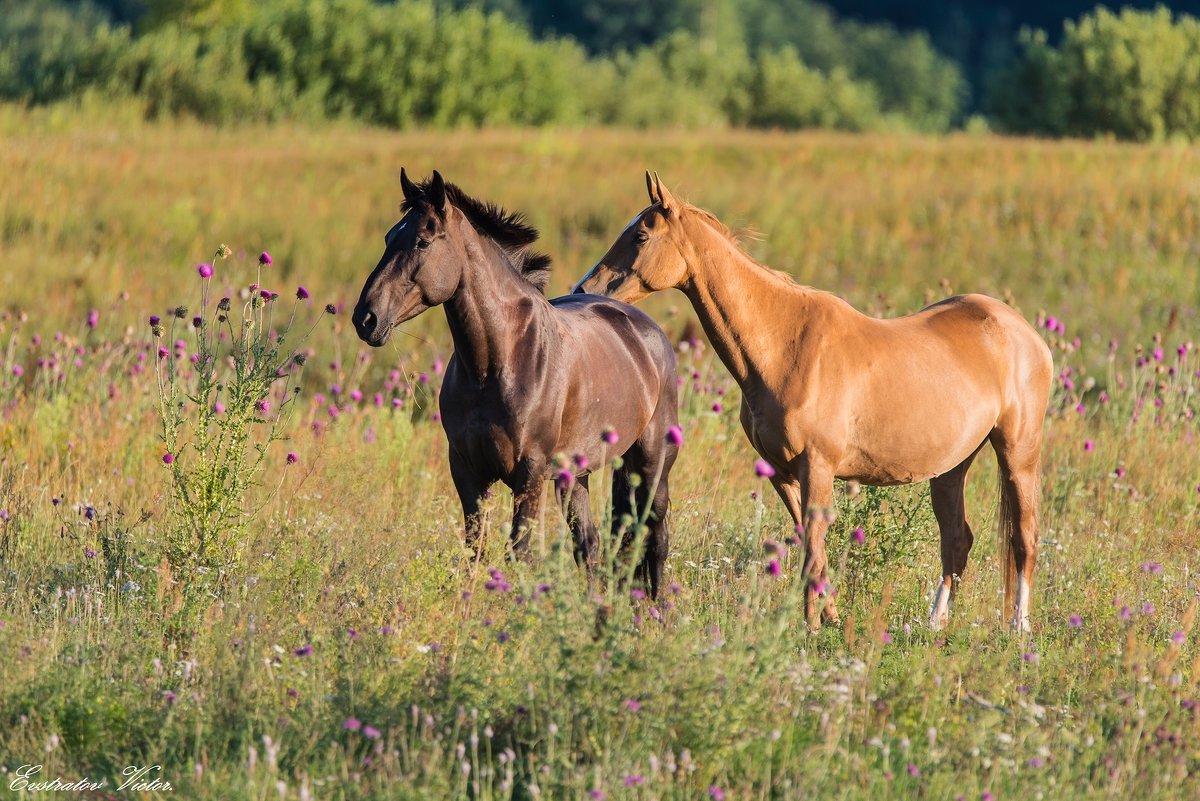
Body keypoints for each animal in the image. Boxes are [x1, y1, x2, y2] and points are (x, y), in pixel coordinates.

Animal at [350, 169, 681, 594]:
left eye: (423, 240)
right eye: (390, 237)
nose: (366, 318)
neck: (495, 364)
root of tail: (648, 331)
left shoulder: (530, 474)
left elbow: (518, 553)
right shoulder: (467, 472)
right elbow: (475, 551)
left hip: (652, 464)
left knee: (655, 538)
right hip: (576, 477)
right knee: (589, 544)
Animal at [571, 172, 1051, 628]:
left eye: (640, 235)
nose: (582, 289)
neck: (785, 344)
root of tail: (1021, 330)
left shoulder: (817, 467)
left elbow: (813, 553)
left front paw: (812, 630)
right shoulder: (784, 474)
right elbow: (812, 554)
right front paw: (830, 619)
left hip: (1018, 453)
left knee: (1024, 537)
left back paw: (1019, 628)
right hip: (952, 467)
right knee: (956, 539)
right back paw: (934, 625)